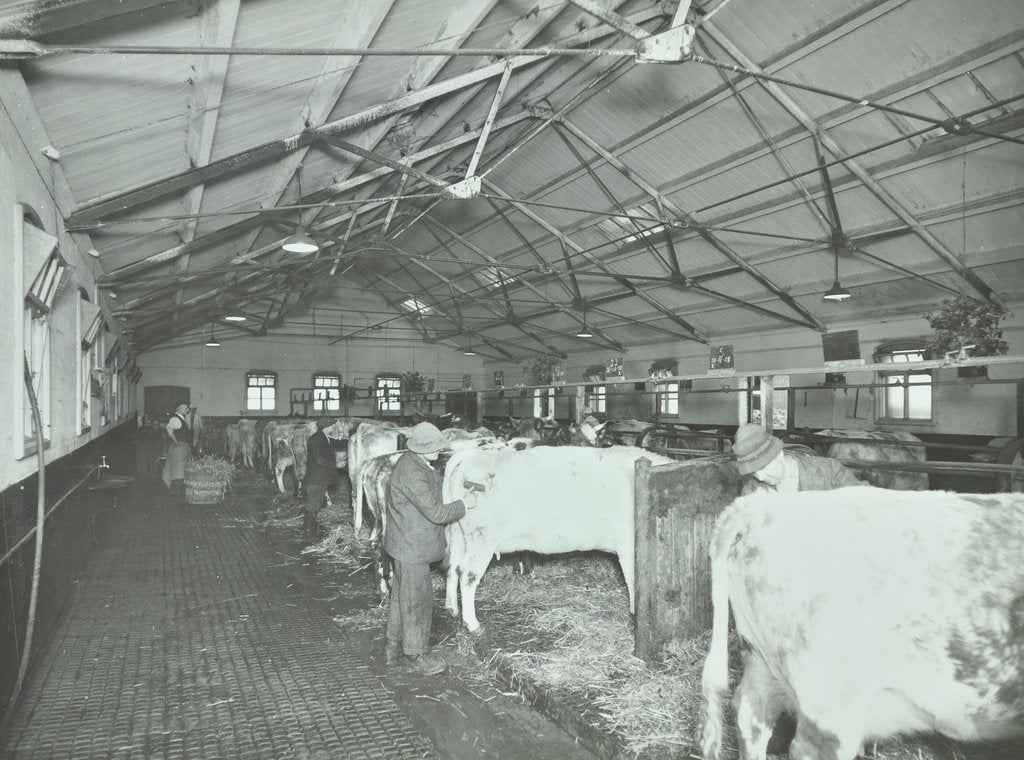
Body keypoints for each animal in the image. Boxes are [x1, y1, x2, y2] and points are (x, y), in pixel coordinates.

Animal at [440, 444, 671, 635]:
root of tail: (470, 455)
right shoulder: (629, 545)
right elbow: (634, 581)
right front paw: (635, 614)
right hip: (482, 538)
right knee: (468, 574)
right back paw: (472, 623)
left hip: (458, 534)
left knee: (453, 568)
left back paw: (451, 608)